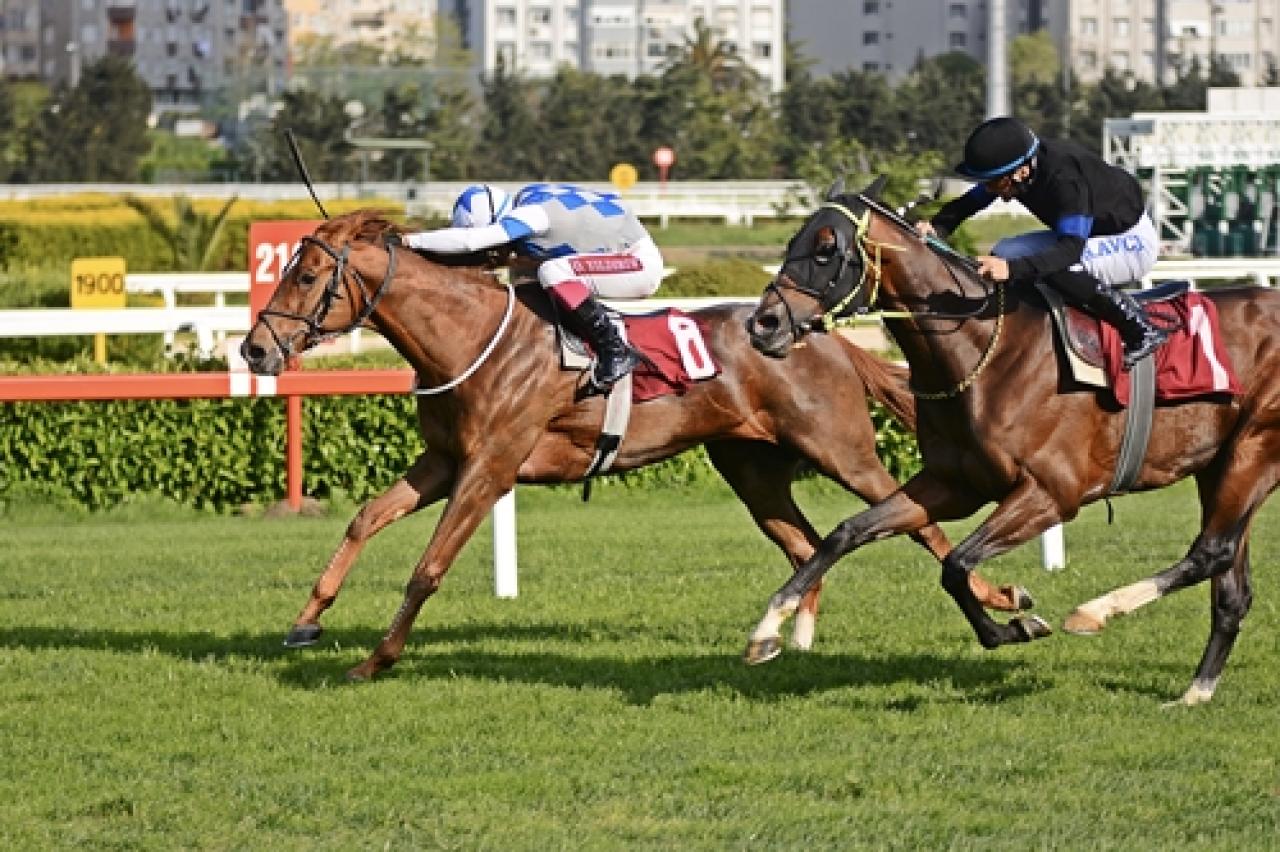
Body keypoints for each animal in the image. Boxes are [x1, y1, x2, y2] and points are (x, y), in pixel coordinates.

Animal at [238, 208, 1029, 680]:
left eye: (308, 275)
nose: (254, 349)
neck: (471, 338)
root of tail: (824, 338)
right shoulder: (443, 461)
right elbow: (364, 519)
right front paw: (306, 622)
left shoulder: (490, 468)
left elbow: (427, 569)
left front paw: (376, 659)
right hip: (752, 471)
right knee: (807, 545)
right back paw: (785, 639)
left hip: (844, 452)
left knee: (918, 523)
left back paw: (1003, 597)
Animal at [742, 179, 1280, 701]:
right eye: (791, 243)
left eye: (826, 250)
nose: (762, 324)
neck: (983, 351)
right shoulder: (953, 484)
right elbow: (847, 532)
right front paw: (767, 628)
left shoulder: (1051, 493)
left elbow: (956, 564)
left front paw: (1016, 627)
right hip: (1220, 464)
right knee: (1230, 585)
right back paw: (1195, 692)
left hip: (1254, 448)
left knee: (1211, 552)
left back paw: (1093, 613)